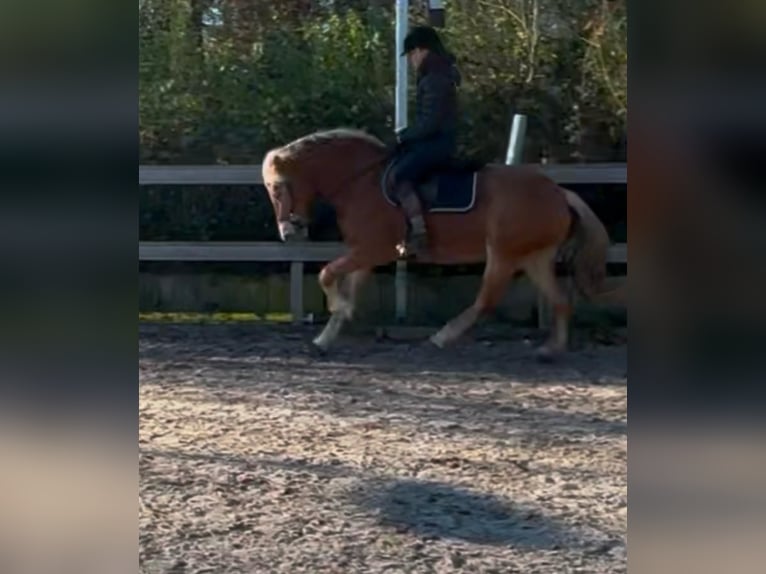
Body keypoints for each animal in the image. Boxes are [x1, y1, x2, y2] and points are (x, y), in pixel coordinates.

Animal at [260, 129, 616, 360]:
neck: (361, 182)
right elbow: (345, 285)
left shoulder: (372, 249)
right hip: (534, 257)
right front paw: (324, 339)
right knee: (560, 301)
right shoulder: (365, 254)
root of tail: (559, 193)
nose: (288, 232)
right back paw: (551, 349)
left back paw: (443, 337)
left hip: (502, 255)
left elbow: (326, 274)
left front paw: (338, 308)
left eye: (276, 188)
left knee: (486, 301)